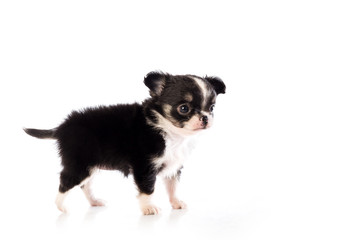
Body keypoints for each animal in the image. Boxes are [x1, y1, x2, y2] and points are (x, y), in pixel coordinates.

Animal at [24, 71, 225, 214]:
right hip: (80, 165)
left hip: (89, 166)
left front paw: (176, 203)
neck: (168, 130)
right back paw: (61, 207)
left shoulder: (173, 166)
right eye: (184, 108)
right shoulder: (144, 166)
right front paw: (148, 208)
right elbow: (148, 188)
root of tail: (62, 127)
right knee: (66, 181)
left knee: (85, 185)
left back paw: (94, 202)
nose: (205, 118)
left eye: (211, 108)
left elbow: (172, 187)